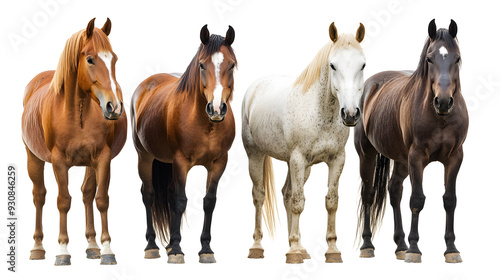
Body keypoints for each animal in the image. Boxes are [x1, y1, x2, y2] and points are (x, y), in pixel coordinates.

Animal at [22, 18, 127, 266]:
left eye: (114, 58)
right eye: (90, 59)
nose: (114, 107)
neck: (77, 113)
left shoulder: (102, 158)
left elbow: (101, 199)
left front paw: (106, 249)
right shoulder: (59, 162)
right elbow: (63, 201)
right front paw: (62, 251)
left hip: (89, 162)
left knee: (87, 193)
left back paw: (92, 245)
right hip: (33, 158)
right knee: (39, 196)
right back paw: (37, 248)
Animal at [131, 25, 236, 264]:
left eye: (232, 64)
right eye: (202, 65)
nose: (217, 109)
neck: (206, 125)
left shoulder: (219, 163)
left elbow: (209, 202)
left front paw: (205, 249)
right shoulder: (181, 162)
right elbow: (180, 201)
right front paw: (177, 250)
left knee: (168, 195)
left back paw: (169, 243)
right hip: (145, 157)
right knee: (148, 194)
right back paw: (152, 246)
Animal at [243, 21, 366, 262]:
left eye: (362, 65)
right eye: (333, 65)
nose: (350, 114)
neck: (322, 112)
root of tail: (254, 88)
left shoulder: (336, 159)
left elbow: (331, 201)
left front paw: (332, 250)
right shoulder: (298, 158)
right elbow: (298, 203)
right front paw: (293, 253)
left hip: (301, 166)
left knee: (286, 193)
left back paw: (300, 247)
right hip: (256, 155)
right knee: (259, 196)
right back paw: (257, 247)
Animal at [354, 19, 466, 262]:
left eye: (457, 58)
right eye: (429, 58)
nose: (444, 102)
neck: (439, 117)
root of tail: (370, 85)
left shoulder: (455, 157)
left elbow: (450, 200)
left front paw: (451, 249)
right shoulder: (417, 157)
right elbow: (417, 200)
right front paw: (415, 249)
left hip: (401, 160)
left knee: (395, 190)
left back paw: (400, 245)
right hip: (367, 154)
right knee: (368, 195)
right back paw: (368, 245)